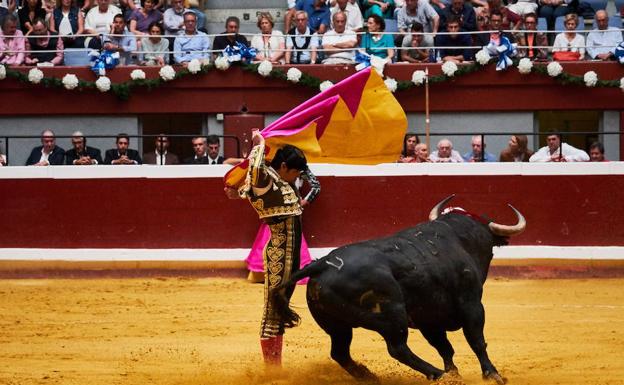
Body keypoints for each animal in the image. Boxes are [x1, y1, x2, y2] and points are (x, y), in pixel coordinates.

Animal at [276, 196, 524, 382]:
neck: (461, 238)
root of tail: (323, 263)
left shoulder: (428, 317)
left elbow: (444, 346)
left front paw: (455, 374)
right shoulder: (471, 303)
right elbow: (476, 339)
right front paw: (492, 374)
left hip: (336, 325)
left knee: (340, 352)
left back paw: (369, 376)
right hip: (392, 314)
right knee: (397, 348)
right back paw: (436, 373)